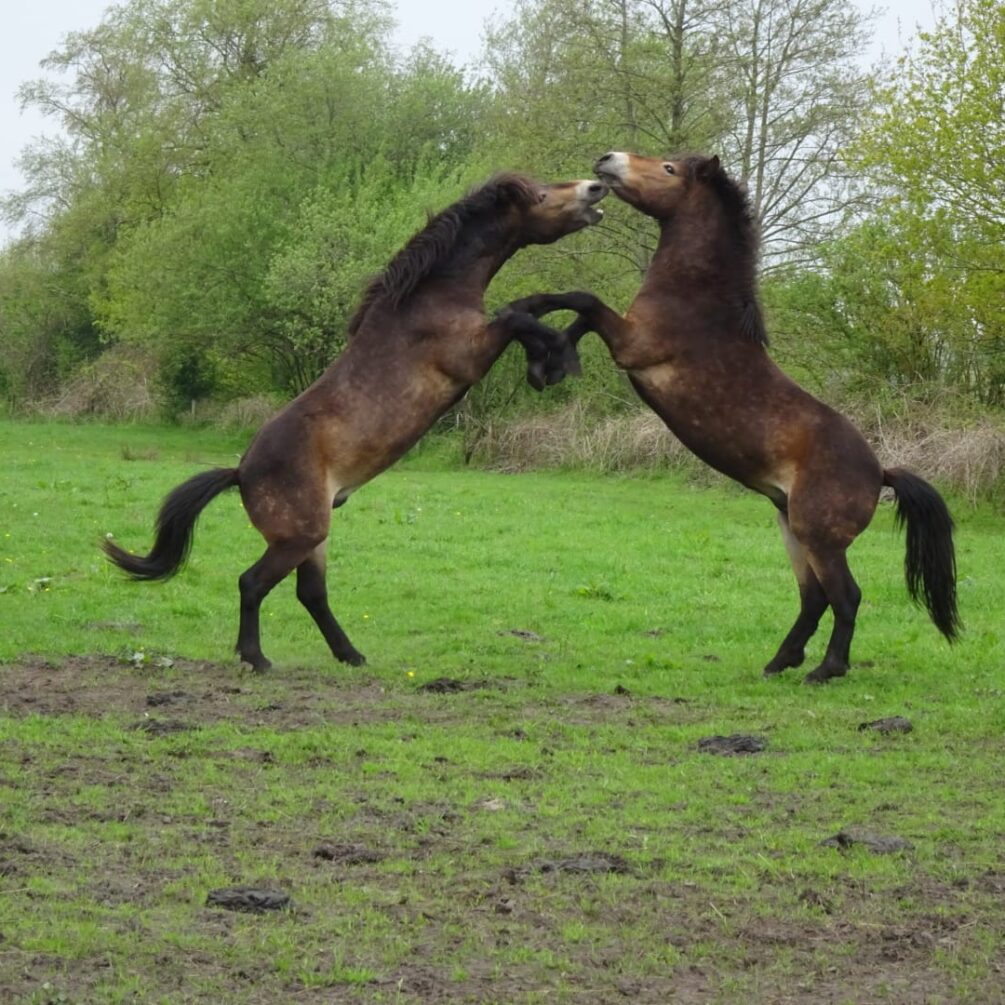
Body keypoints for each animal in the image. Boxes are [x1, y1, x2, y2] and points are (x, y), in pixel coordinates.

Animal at [104, 172, 608, 671]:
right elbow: (518, 318)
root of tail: (241, 472)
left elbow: (532, 302)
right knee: (253, 583)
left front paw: (551, 355)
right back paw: (257, 658)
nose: (595, 187)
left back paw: (350, 655)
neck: (429, 298)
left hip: (313, 540)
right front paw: (554, 360)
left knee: (310, 593)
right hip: (301, 536)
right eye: (542, 195)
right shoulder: (469, 354)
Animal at [500, 152, 959, 683]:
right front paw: (548, 361)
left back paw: (826, 670)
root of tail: (881, 471)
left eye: (669, 168)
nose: (607, 161)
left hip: (820, 538)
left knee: (845, 597)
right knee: (814, 598)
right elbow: (579, 318)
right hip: (792, 530)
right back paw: (780, 661)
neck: (696, 297)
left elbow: (583, 300)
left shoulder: (633, 345)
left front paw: (529, 314)